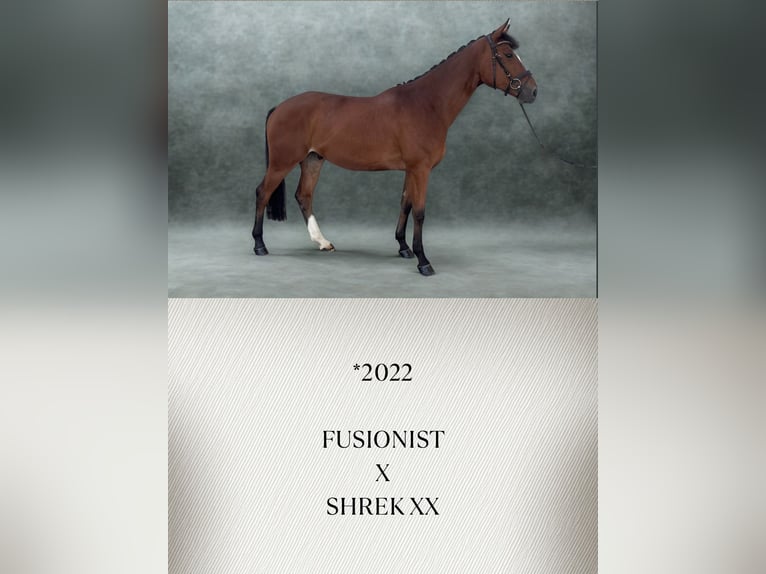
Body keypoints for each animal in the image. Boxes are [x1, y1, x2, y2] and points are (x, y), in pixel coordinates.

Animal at [252, 19, 537, 276]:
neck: (426, 104)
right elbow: (420, 212)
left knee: (304, 195)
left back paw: (322, 242)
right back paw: (259, 245)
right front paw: (423, 261)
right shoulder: (421, 170)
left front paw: (403, 248)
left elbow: (405, 205)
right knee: (263, 192)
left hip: (312, 159)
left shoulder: (411, 170)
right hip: (282, 162)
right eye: (508, 54)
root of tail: (279, 107)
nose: (532, 91)